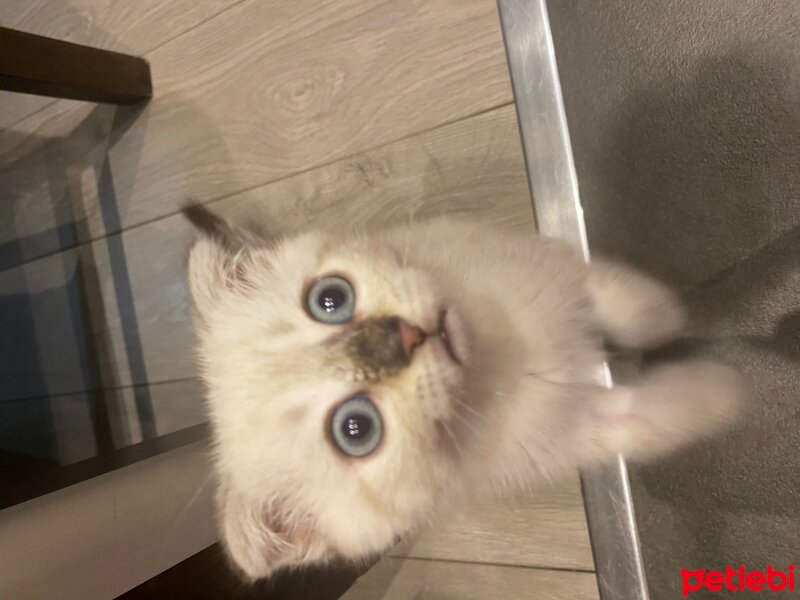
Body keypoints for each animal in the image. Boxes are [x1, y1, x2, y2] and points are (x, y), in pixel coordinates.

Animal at [181, 203, 744, 580]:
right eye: (356, 429)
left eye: (330, 299)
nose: (403, 337)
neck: (501, 357)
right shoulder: (574, 433)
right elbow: (652, 421)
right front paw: (726, 393)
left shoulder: (548, 262)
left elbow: (621, 300)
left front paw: (668, 315)